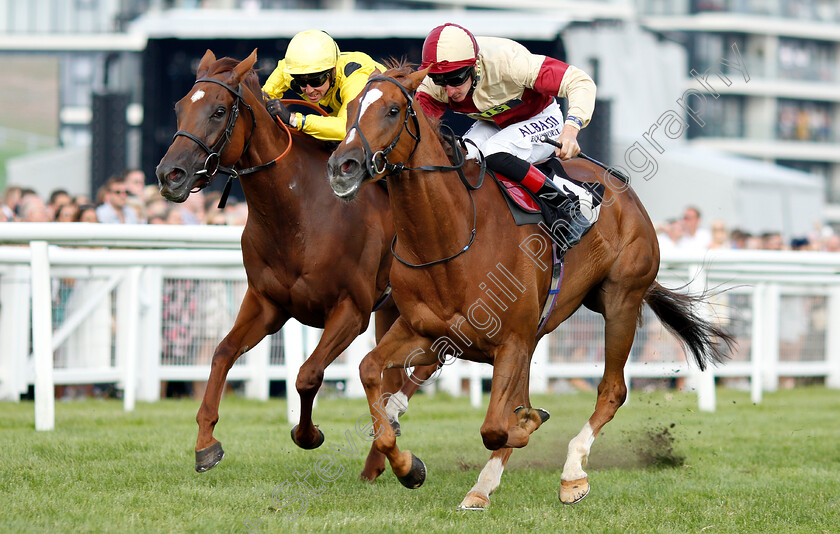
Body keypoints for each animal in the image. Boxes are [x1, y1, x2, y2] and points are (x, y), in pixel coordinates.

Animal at [156, 51, 440, 482]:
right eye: (179, 107)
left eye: (219, 111)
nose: (169, 174)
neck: (298, 213)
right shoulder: (267, 304)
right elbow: (222, 353)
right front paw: (206, 443)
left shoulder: (351, 311)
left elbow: (308, 375)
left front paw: (308, 435)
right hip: (392, 309)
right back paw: (377, 460)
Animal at [324, 67, 732, 510]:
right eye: (350, 108)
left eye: (393, 110)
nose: (342, 165)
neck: (451, 238)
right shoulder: (428, 333)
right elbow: (370, 371)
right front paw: (408, 466)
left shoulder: (511, 341)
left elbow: (496, 427)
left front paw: (528, 423)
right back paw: (483, 485)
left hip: (620, 299)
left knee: (612, 390)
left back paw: (570, 473)